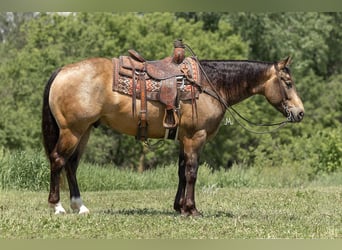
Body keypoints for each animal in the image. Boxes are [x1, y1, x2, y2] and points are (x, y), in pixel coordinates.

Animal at [40, 42, 304, 216]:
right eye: (288, 82)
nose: (300, 112)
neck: (210, 84)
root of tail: (62, 71)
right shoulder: (196, 137)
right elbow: (192, 172)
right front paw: (191, 209)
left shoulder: (183, 138)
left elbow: (181, 171)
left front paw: (179, 207)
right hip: (72, 131)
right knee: (58, 160)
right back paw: (57, 206)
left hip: (84, 131)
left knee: (71, 165)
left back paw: (80, 206)